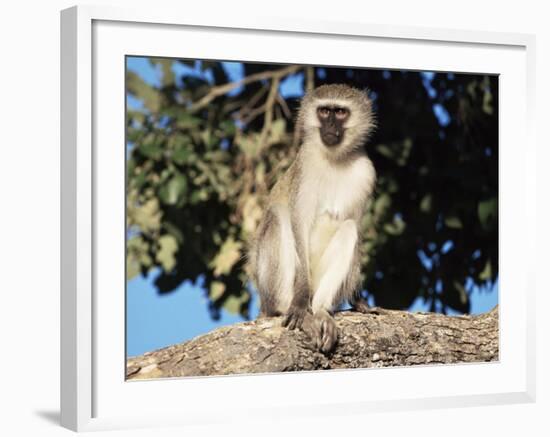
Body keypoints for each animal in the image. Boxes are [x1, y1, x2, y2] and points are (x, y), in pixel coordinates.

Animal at [251, 83, 378, 352]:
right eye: (324, 111)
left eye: (340, 112)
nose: (329, 127)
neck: (334, 160)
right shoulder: (305, 166)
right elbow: (298, 223)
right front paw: (299, 303)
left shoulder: (366, 172)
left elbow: (356, 226)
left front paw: (359, 300)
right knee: (278, 217)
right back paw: (292, 309)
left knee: (349, 228)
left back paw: (320, 312)